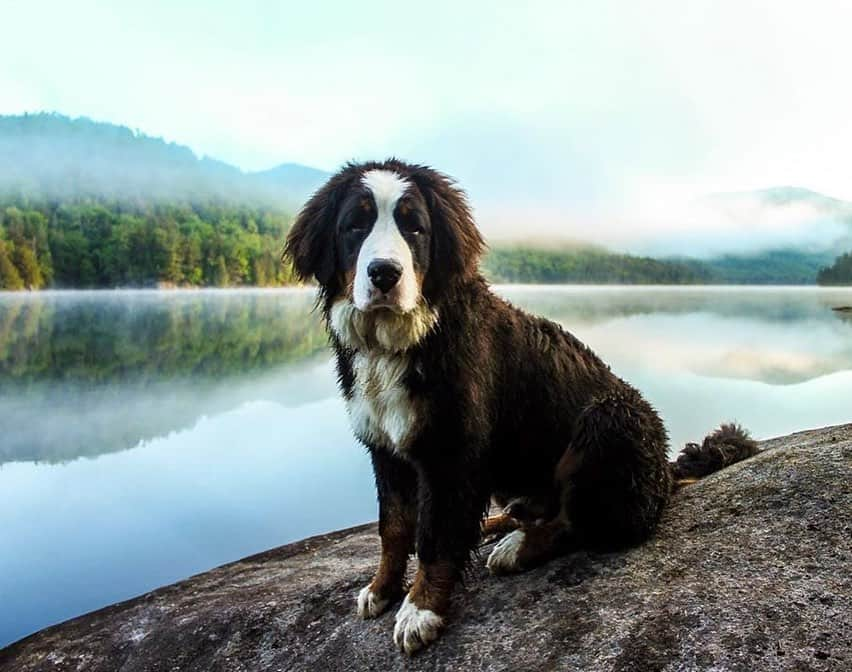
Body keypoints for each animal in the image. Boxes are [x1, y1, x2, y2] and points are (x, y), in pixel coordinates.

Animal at [282, 160, 756, 652]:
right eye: (354, 225)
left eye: (414, 227)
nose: (384, 274)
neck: (403, 342)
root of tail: (663, 471)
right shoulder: (383, 445)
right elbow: (393, 527)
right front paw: (382, 588)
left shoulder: (452, 451)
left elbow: (436, 537)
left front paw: (420, 610)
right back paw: (501, 524)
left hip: (608, 421)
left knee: (586, 521)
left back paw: (516, 547)